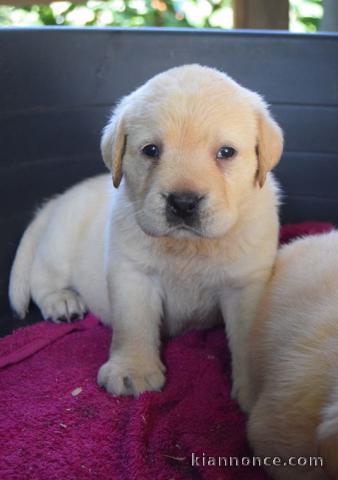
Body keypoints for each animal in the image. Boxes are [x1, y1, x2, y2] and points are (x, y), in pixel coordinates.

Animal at [8, 64, 282, 408]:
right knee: (41, 280)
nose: (183, 203)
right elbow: (134, 323)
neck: (187, 248)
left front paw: (260, 389)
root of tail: (54, 201)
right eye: (151, 150)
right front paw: (132, 370)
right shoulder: (132, 273)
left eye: (226, 152)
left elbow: (248, 336)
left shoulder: (246, 284)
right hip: (59, 242)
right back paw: (62, 301)